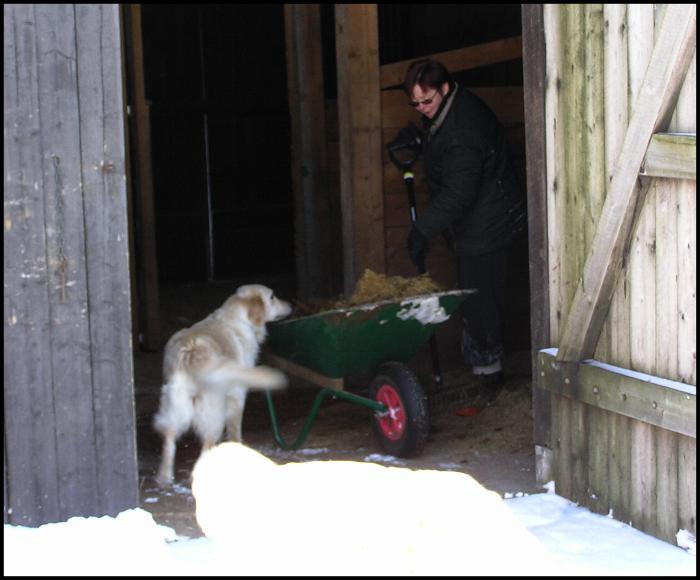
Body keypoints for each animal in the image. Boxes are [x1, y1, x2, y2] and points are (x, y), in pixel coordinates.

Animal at [153, 284, 292, 488]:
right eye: (273, 296)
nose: (291, 305)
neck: (237, 316)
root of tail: (191, 349)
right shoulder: (237, 394)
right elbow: (235, 429)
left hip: (176, 404)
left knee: (169, 439)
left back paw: (164, 478)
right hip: (213, 412)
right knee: (207, 445)